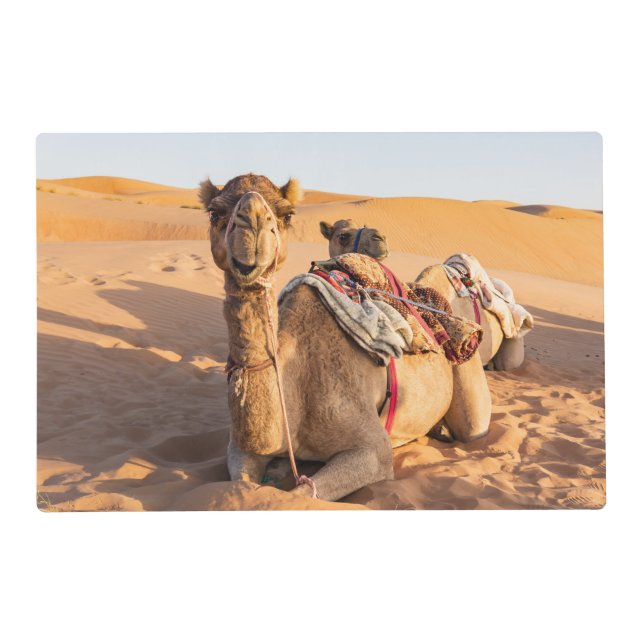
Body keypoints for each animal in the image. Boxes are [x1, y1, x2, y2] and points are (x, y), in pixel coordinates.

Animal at [200, 173, 491, 502]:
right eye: (214, 212)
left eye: (287, 214)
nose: (252, 224)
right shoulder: (240, 448)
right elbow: (243, 484)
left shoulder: (373, 450)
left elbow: (299, 495)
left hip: (468, 379)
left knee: (473, 426)